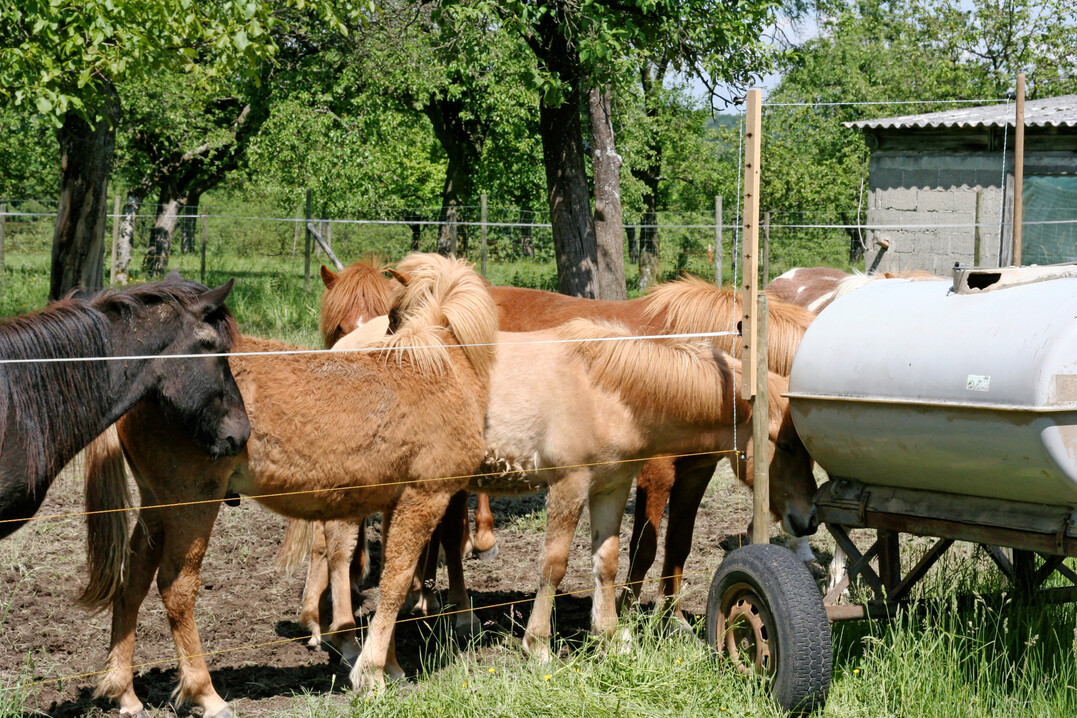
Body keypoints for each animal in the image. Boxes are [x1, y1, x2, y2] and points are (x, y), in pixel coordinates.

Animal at [82, 254, 498, 718]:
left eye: (388, 315)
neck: (434, 367)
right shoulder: (425, 498)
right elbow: (395, 582)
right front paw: (371, 674)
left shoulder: (395, 503)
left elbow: (397, 577)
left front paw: (389, 666)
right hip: (192, 504)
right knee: (176, 589)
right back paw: (206, 693)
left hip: (156, 505)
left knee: (133, 582)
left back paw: (124, 691)